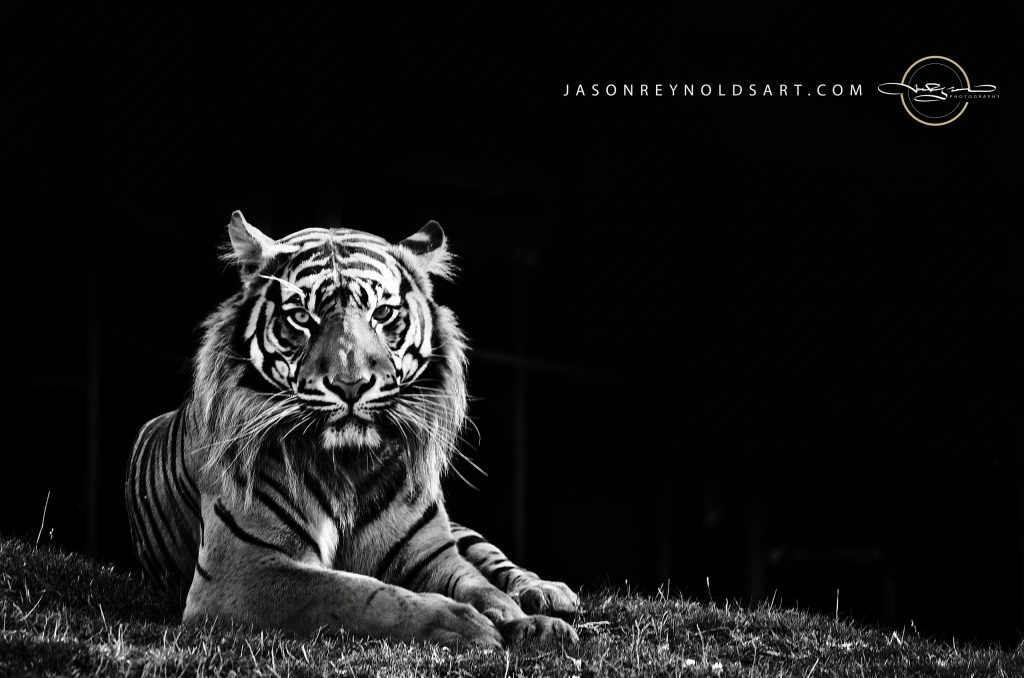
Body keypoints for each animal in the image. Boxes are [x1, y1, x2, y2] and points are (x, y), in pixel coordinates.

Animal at [124, 211, 580, 648]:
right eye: (302, 318)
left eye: (382, 314)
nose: (350, 384)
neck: (349, 466)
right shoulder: (243, 568)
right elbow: (362, 595)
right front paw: (465, 625)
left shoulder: (433, 554)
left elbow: (482, 588)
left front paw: (531, 624)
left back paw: (548, 593)